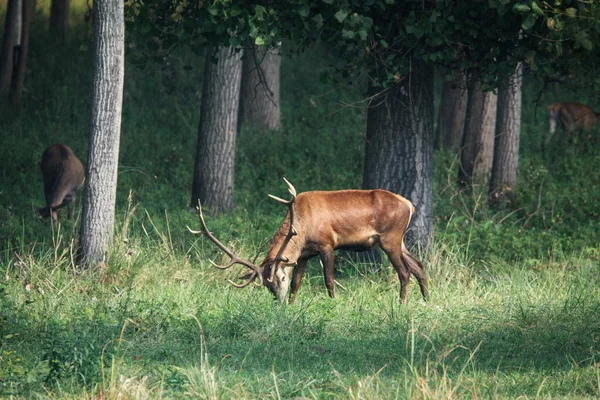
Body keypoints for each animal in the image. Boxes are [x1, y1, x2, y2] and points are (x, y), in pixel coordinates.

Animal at [188, 178, 426, 304]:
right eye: (267, 285)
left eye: (279, 279)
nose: (278, 302)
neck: (301, 228)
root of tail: (409, 205)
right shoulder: (304, 254)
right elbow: (297, 282)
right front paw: (292, 305)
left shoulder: (327, 244)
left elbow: (328, 280)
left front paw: (333, 303)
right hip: (400, 241)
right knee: (419, 266)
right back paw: (426, 299)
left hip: (390, 238)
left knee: (405, 272)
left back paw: (402, 304)